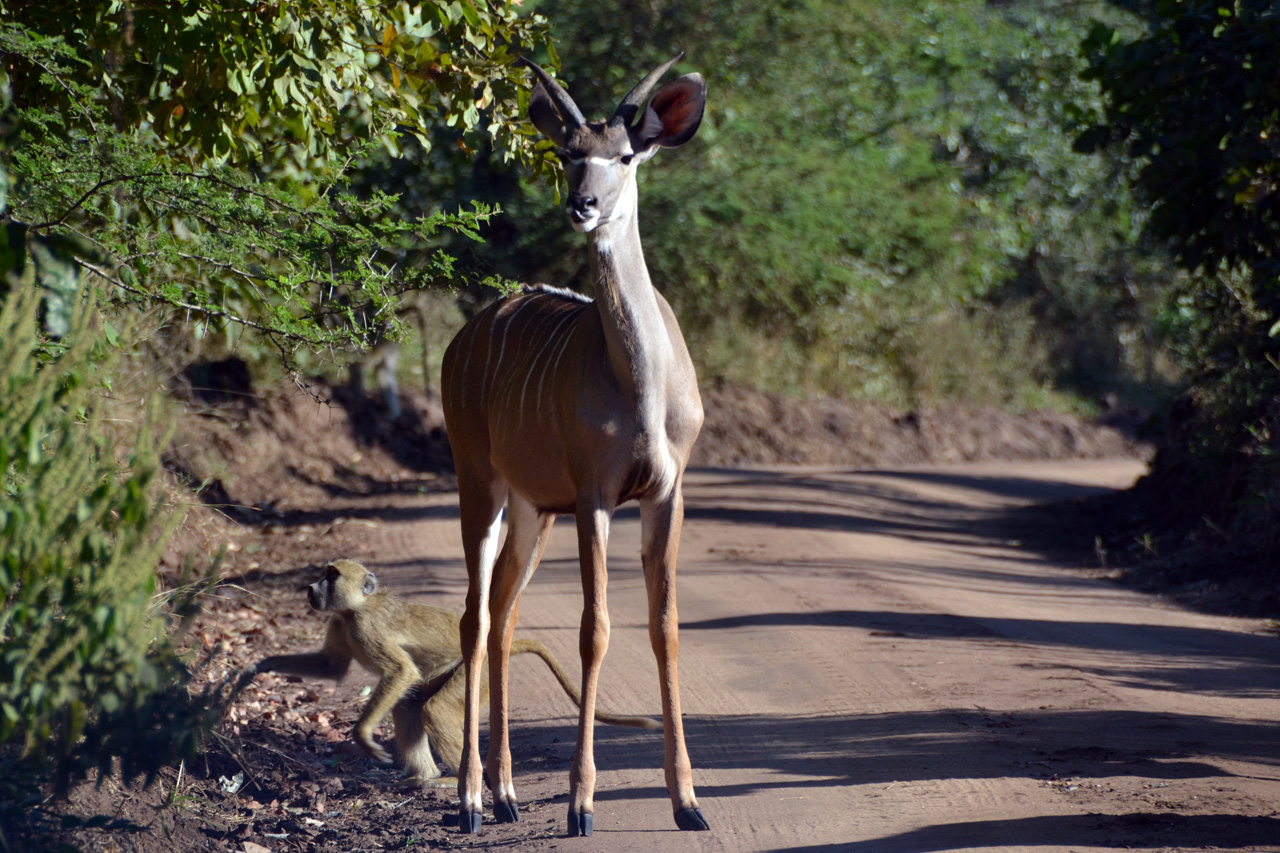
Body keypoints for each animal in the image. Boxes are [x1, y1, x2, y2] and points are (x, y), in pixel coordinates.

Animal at [435, 56, 706, 835]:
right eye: (567, 153)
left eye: (626, 155)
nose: (582, 204)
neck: (640, 385)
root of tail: (465, 335)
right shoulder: (595, 495)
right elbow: (595, 629)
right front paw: (582, 804)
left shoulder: (666, 492)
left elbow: (665, 625)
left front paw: (688, 801)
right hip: (479, 481)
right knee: (474, 616)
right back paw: (470, 799)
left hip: (533, 509)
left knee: (503, 616)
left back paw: (506, 794)